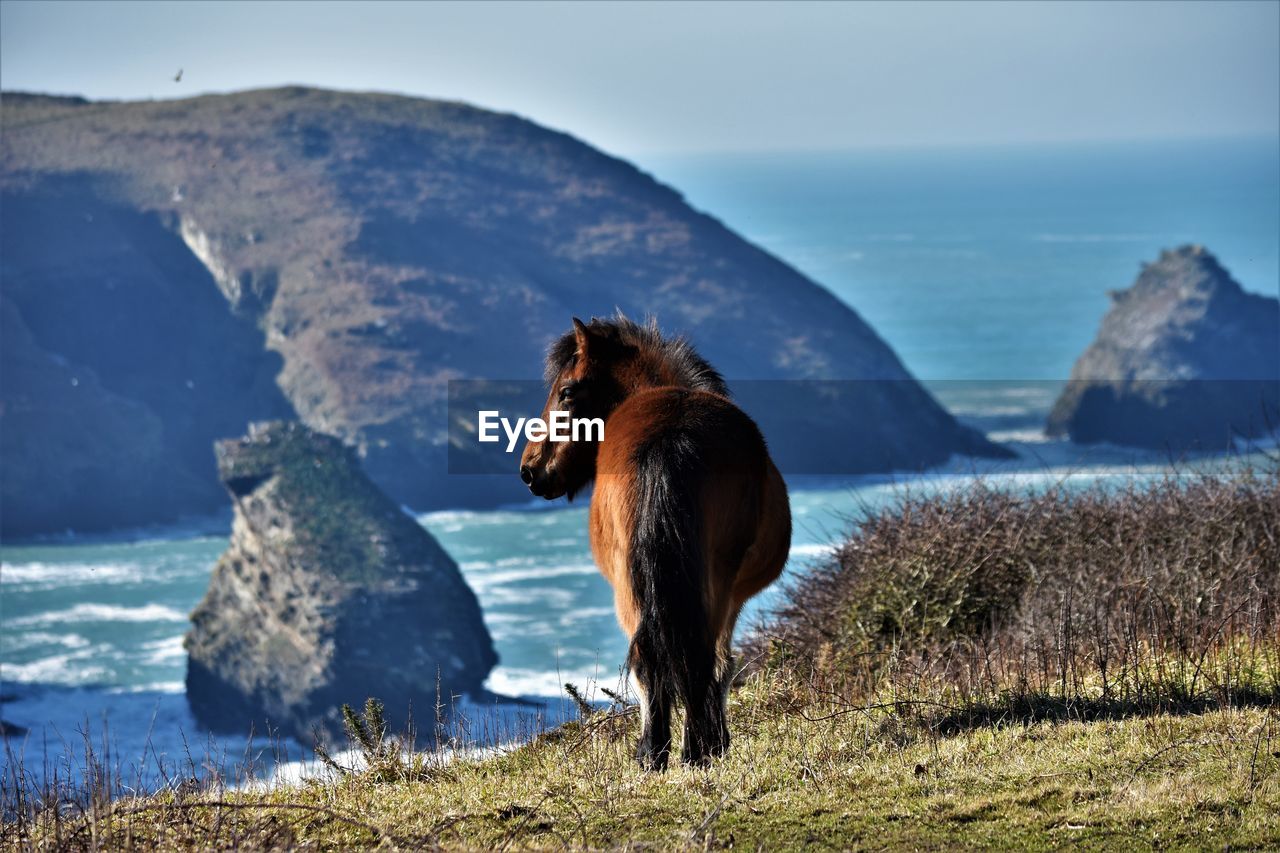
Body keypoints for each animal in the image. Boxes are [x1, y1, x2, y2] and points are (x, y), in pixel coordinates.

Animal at [519, 315, 788, 768]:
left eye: (566, 391)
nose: (530, 469)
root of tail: (669, 436)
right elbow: (723, 664)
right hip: (705, 584)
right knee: (696, 656)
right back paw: (692, 749)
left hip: (634, 584)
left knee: (657, 656)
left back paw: (658, 751)